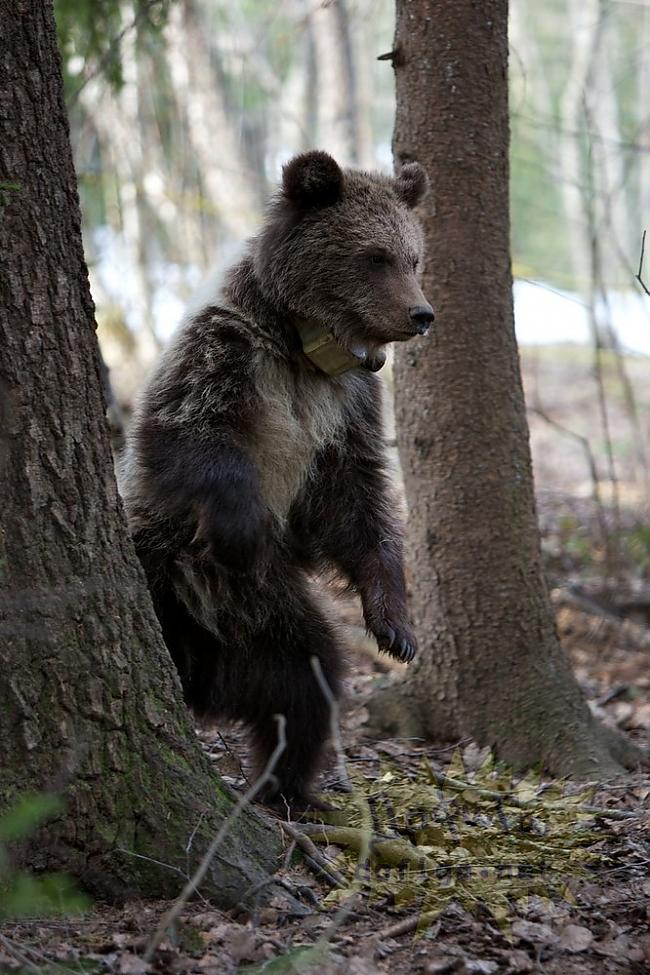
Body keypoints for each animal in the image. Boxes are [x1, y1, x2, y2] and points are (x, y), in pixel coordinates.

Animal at [119, 151, 432, 808]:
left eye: (413, 257)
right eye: (375, 256)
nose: (421, 314)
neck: (305, 350)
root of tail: (203, 670)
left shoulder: (348, 407)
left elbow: (356, 501)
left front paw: (395, 627)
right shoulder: (227, 357)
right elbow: (191, 440)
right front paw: (242, 532)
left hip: (265, 620)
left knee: (307, 681)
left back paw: (289, 790)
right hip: (168, 573)